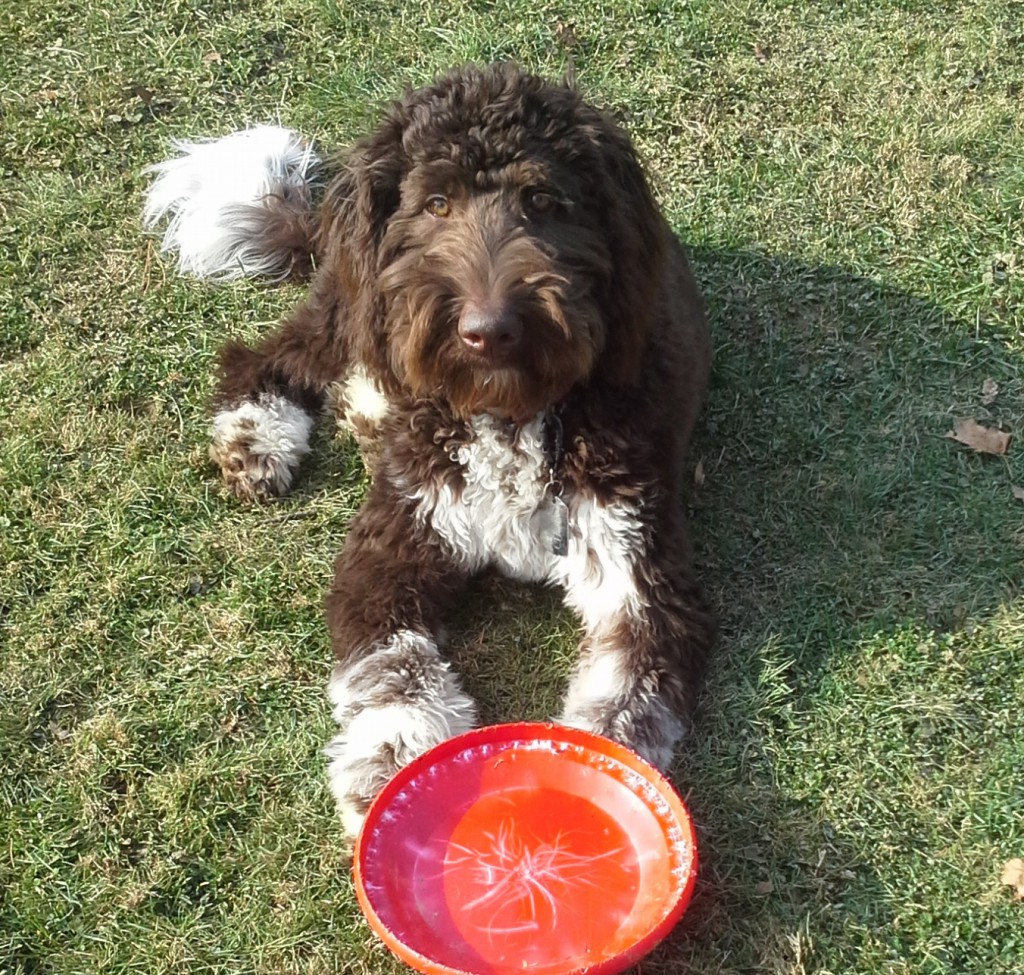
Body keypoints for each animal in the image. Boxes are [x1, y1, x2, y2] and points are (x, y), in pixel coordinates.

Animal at [144, 62, 716, 839]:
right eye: (436, 204)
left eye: (544, 201)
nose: (488, 329)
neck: (507, 412)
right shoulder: (392, 546)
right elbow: (396, 669)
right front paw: (389, 766)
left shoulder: (639, 574)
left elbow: (623, 705)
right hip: (355, 305)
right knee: (267, 354)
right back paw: (257, 432)